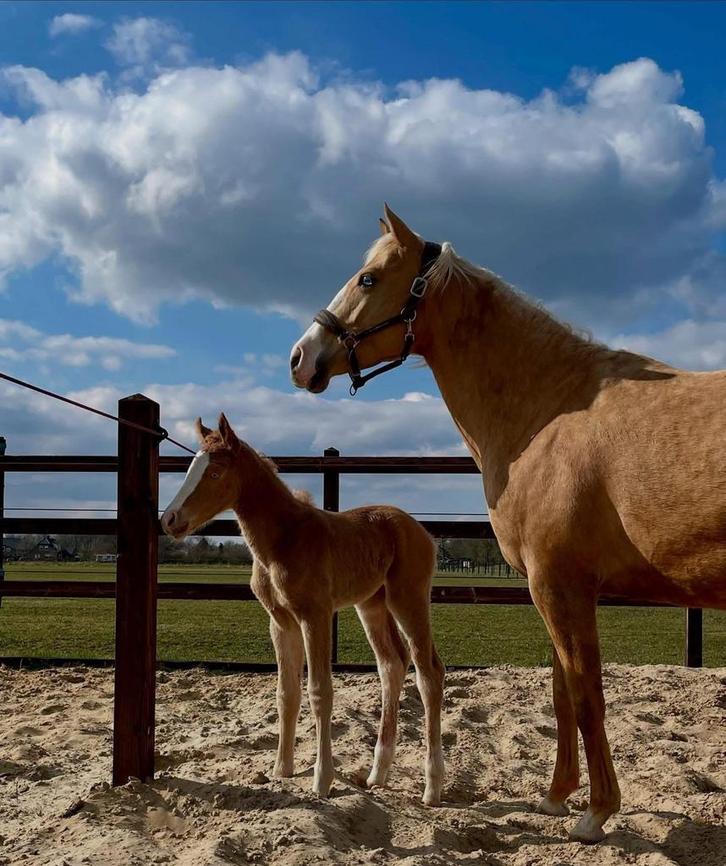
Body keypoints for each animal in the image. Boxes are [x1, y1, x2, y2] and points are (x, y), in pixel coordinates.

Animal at [160, 414, 445, 805]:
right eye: (190, 467)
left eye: (215, 473)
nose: (169, 520)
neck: (284, 539)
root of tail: (420, 530)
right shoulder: (280, 622)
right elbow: (287, 692)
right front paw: (282, 769)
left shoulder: (316, 615)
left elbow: (320, 691)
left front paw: (321, 780)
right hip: (371, 605)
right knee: (392, 665)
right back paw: (377, 775)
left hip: (409, 598)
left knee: (428, 673)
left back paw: (432, 788)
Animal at [289, 204, 726, 843]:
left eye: (368, 279)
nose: (300, 358)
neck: (549, 412)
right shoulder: (551, 589)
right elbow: (562, 693)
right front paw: (556, 797)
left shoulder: (561, 586)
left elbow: (587, 695)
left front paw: (596, 812)